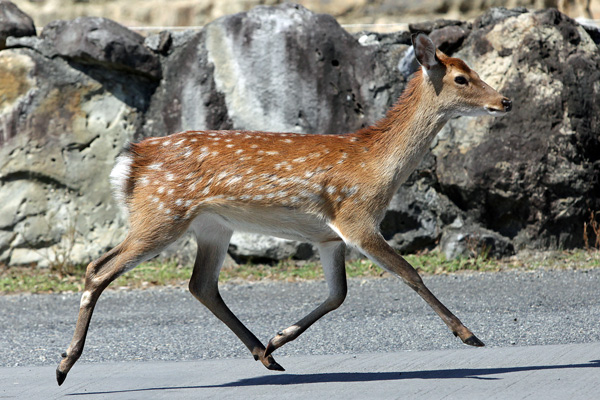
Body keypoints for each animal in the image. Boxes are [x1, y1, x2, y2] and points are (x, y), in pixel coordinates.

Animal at [55, 34, 510, 384]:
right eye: (461, 77)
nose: (504, 101)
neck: (375, 166)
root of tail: (130, 162)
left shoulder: (328, 236)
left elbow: (338, 295)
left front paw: (280, 337)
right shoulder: (356, 218)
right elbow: (410, 273)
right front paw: (469, 334)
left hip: (212, 226)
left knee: (201, 285)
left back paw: (266, 354)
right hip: (162, 213)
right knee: (98, 268)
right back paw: (64, 364)